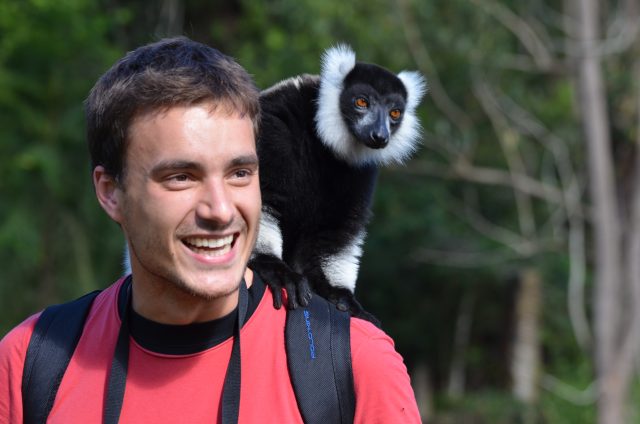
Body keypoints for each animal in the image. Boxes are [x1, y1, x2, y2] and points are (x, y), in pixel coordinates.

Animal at [251, 45, 426, 325]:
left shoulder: (360, 171)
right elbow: (265, 196)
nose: (380, 136)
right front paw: (274, 267)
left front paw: (340, 295)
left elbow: (334, 234)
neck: (324, 139)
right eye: (361, 102)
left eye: (394, 113)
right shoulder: (274, 123)